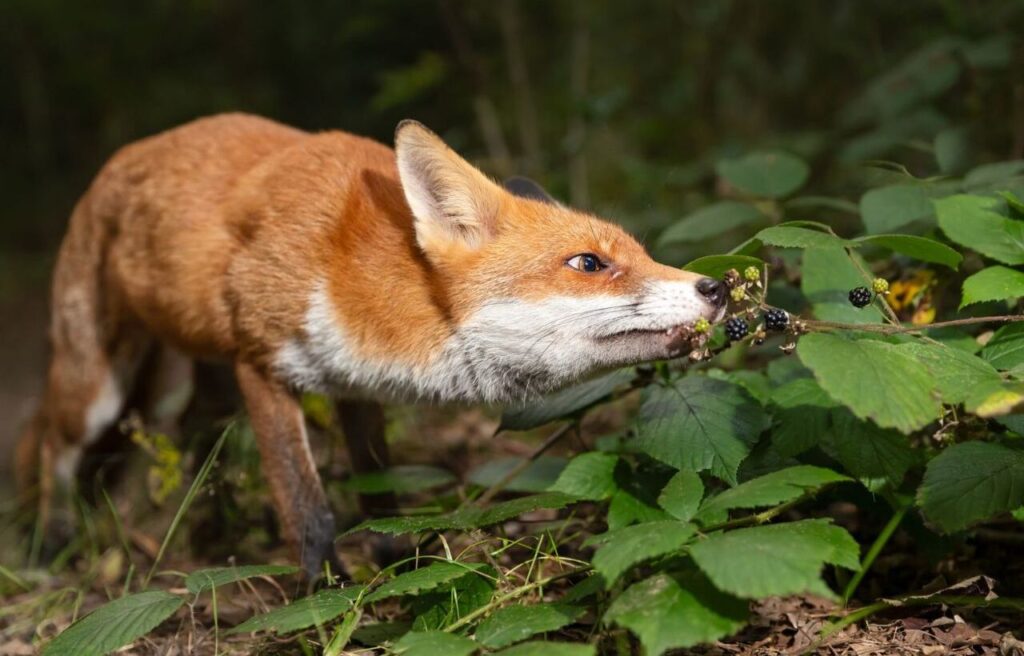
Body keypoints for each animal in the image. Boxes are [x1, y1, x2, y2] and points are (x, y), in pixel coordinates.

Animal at [15, 113, 727, 577]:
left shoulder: (355, 386)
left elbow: (379, 494)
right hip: (99, 392)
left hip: (185, 396)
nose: (717, 287)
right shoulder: (261, 366)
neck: (354, 272)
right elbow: (310, 511)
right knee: (54, 448)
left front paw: (394, 566)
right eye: (588, 263)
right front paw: (325, 598)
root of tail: (114, 164)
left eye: (641, 253)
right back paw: (49, 550)